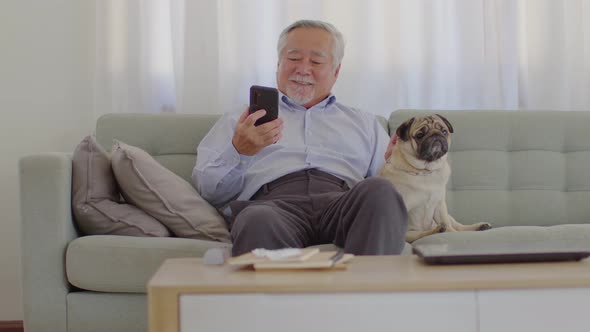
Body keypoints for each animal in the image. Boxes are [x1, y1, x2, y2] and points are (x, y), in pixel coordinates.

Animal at [382, 115, 492, 243]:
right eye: (420, 135)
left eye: (444, 131)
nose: (436, 134)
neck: (425, 172)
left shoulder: (440, 204)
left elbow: (449, 226)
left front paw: (451, 232)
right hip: (411, 233)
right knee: (421, 234)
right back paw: (437, 230)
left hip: (449, 216)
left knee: (459, 227)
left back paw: (480, 226)